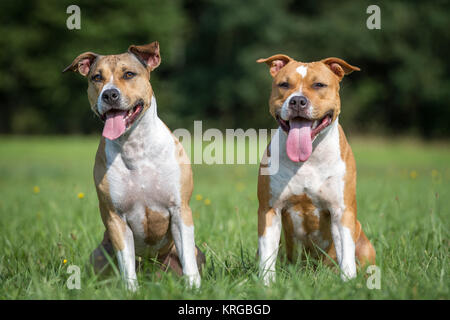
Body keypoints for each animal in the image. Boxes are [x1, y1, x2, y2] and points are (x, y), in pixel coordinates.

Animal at [63, 42, 204, 290]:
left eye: (129, 74)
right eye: (96, 77)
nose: (109, 93)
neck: (134, 146)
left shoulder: (180, 210)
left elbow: (188, 259)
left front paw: (193, 289)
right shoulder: (116, 218)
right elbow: (126, 263)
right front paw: (131, 291)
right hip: (99, 254)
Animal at [256, 53, 376, 284]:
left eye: (319, 84)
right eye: (284, 84)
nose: (297, 100)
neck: (309, 159)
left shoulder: (342, 211)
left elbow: (346, 253)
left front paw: (348, 283)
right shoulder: (270, 209)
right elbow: (267, 254)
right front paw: (266, 284)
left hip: (364, 242)